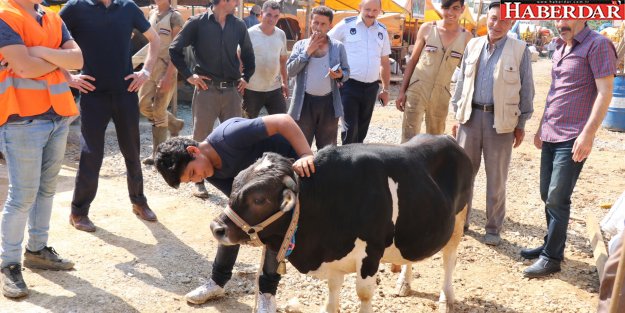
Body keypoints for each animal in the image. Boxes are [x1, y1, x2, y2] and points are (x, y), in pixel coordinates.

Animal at [211, 135, 472, 312]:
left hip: (458, 222)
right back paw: (403, 285)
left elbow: (364, 295)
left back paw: (446, 298)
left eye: (259, 199)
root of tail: (447, 139)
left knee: (449, 260)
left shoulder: (370, 253)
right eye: (235, 183)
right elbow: (332, 294)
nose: (216, 228)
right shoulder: (333, 259)